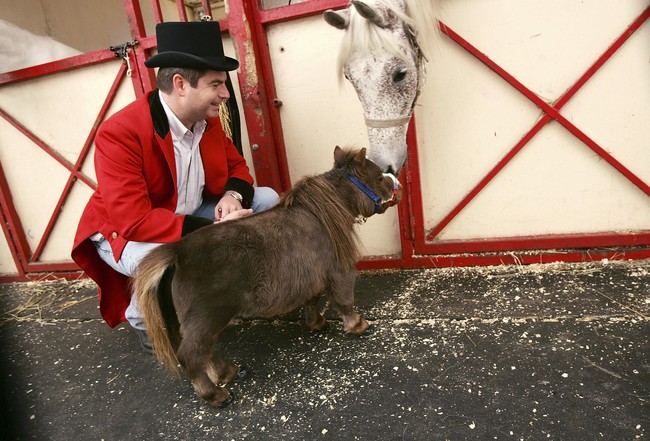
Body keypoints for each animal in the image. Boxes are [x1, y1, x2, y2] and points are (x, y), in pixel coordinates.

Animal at [133, 146, 400, 408]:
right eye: (378, 178)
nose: (395, 183)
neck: (322, 214)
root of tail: (178, 252)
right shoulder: (339, 270)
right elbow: (344, 300)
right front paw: (358, 325)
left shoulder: (309, 276)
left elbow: (312, 299)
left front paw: (317, 322)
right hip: (206, 318)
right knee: (192, 356)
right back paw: (217, 395)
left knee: (205, 353)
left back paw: (230, 372)